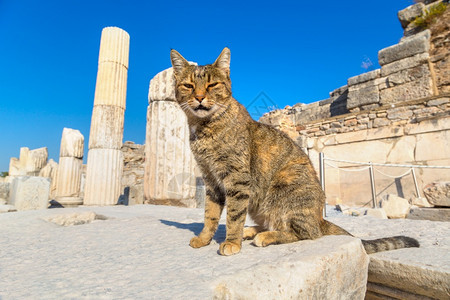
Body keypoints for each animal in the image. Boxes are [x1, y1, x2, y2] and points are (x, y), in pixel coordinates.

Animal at [169, 47, 418, 255]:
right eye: (188, 86)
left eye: (212, 85)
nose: (199, 97)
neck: (203, 129)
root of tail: (320, 219)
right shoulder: (211, 180)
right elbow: (210, 215)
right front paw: (204, 239)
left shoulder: (237, 179)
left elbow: (233, 215)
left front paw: (231, 242)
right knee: (274, 223)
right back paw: (254, 231)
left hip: (284, 189)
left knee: (305, 233)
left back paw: (265, 236)